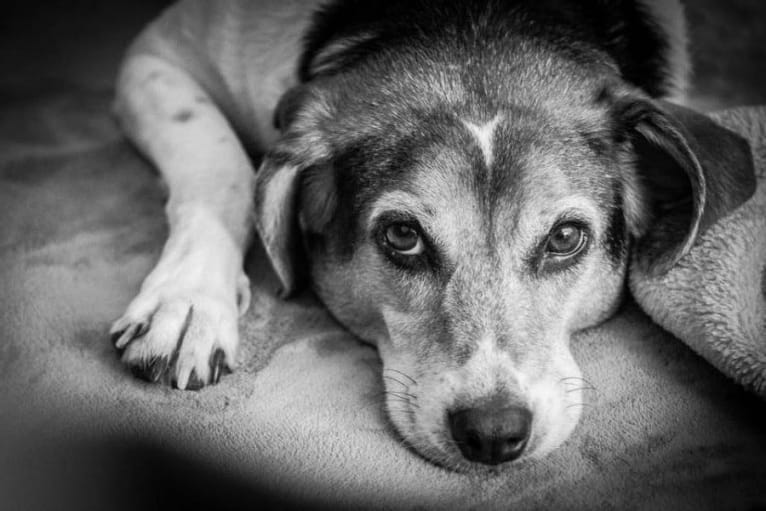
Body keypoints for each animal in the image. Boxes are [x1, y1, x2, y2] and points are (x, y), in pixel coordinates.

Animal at [111, 0, 760, 470]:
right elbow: (222, 165)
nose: (494, 434)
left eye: (565, 238)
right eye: (403, 235)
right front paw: (188, 303)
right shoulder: (154, 54)